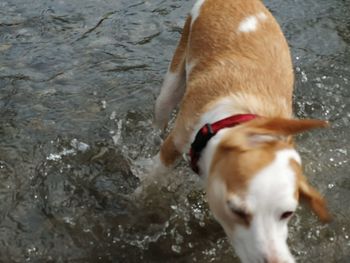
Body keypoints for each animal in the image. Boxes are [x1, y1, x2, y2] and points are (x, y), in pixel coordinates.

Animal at [154, 1, 330, 262]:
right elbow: (151, 181)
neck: (237, 119)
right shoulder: (174, 145)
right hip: (170, 88)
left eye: (287, 213)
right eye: (236, 211)